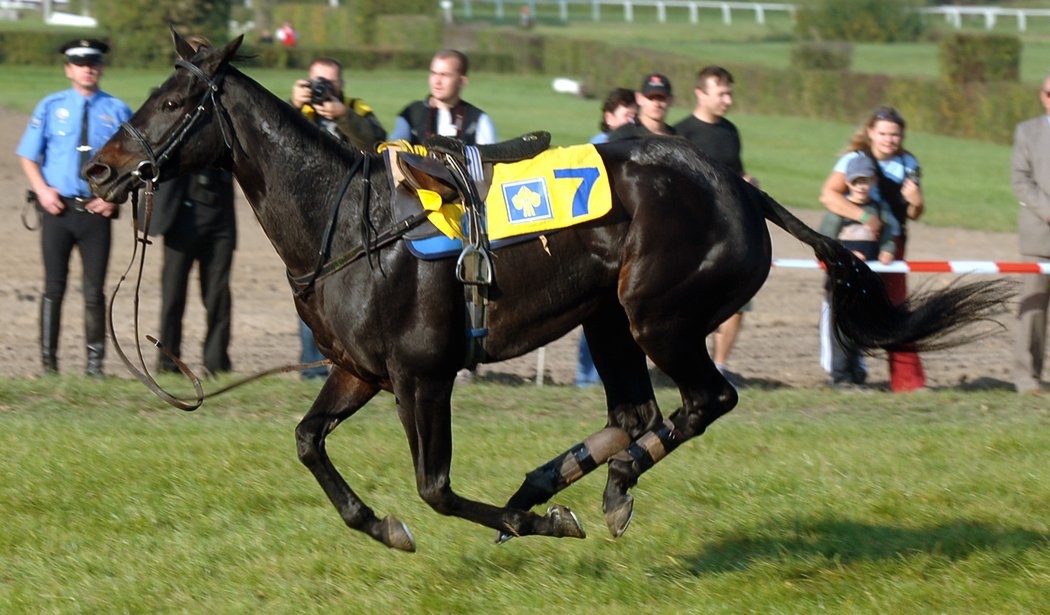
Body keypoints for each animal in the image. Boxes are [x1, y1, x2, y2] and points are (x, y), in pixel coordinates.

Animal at [86, 32, 1003, 549]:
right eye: (152, 91)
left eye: (174, 98)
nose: (97, 169)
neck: (345, 227)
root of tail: (738, 186)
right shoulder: (358, 369)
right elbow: (310, 442)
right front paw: (384, 524)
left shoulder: (423, 376)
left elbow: (437, 489)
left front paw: (519, 523)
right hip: (606, 318)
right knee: (636, 409)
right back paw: (555, 482)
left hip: (659, 314)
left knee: (702, 401)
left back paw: (609, 483)